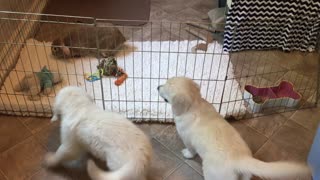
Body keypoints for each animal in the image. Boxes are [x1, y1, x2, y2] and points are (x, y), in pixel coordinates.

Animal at [158, 76, 312, 180]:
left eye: (165, 87)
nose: (157, 87)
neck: (195, 105)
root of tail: (241, 159)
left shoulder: (187, 138)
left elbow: (190, 150)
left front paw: (187, 154)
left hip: (213, 173)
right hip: (245, 175)